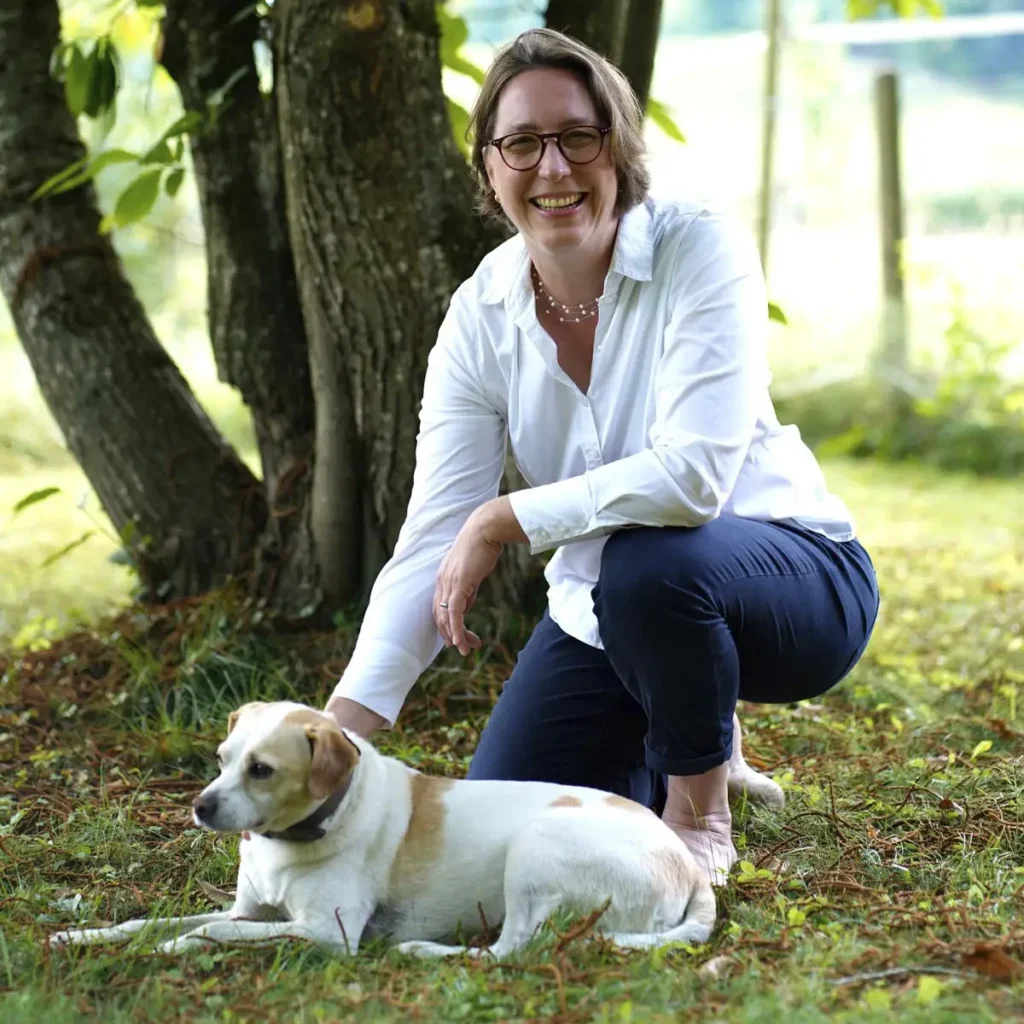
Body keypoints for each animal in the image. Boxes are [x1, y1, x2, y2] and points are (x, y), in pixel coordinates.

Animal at [51, 700, 724, 954]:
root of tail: (688, 869)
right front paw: (84, 936)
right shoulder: (252, 910)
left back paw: (427, 951)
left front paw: (176, 947)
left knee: (509, 951)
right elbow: (154, 920)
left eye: (261, 769)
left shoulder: (327, 933)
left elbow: (216, 930)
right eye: (221, 758)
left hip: (537, 850)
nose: (200, 806)